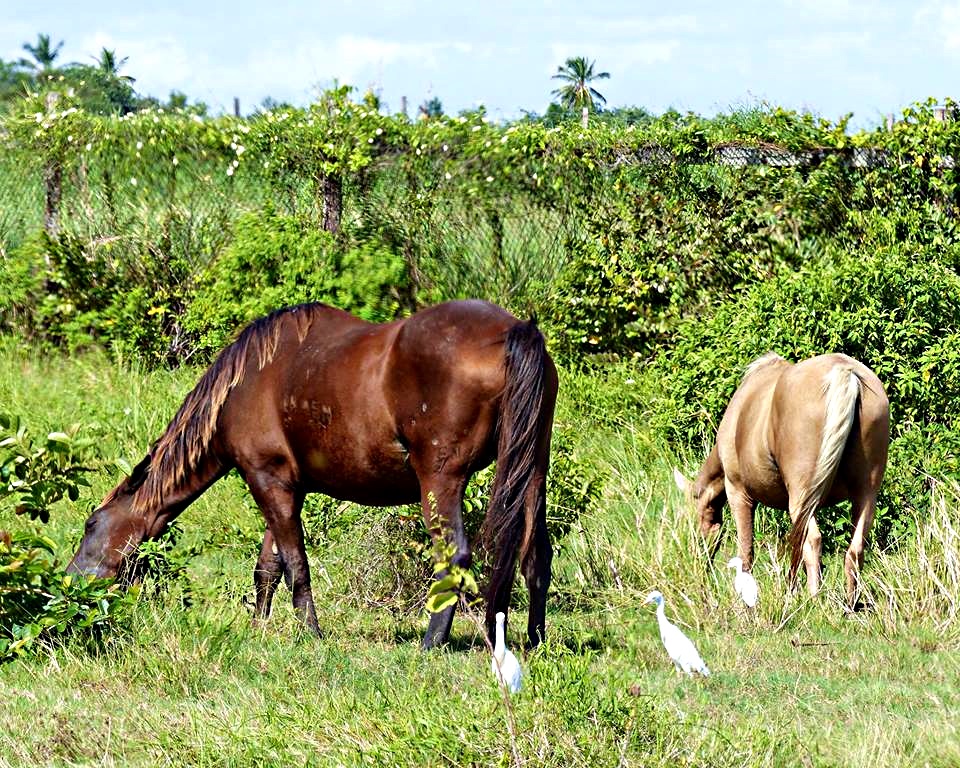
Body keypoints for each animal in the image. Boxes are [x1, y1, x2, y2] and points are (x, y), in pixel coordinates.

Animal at [67, 300, 560, 648]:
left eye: (91, 524)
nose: (70, 583)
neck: (242, 384)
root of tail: (515, 330)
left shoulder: (267, 480)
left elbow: (296, 565)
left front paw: (311, 632)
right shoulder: (285, 486)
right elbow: (268, 566)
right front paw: (258, 628)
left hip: (440, 482)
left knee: (454, 557)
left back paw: (432, 642)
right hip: (533, 471)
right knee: (536, 555)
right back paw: (533, 640)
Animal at [680, 352, 888, 608]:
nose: (698, 559)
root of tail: (845, 372)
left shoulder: (737, 492)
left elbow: (746, 551)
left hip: (800, 496)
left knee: (812, 542)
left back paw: (813, 600)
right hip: (865, 494)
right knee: (855, 550)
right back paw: (849, 606)